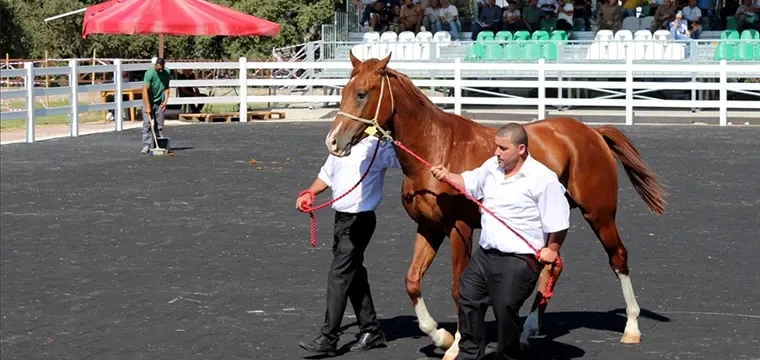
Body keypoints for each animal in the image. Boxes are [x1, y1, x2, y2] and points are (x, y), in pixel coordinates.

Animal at [326, 53, 664, 360]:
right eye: (343, 91)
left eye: (361, 93)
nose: (333, 141)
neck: (437, 147)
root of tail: (593, 133)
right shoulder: (429, 227)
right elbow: (412, 281)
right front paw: (440, 336)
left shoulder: (459, 228)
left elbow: (457, 286)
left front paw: (456, 344)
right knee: (553, 263)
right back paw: (528, 331)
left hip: (600, 214)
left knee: (618, 257)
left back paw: (631, 327)